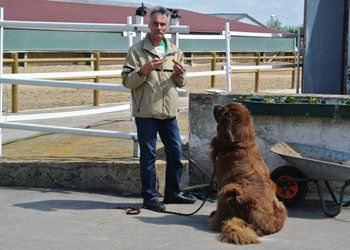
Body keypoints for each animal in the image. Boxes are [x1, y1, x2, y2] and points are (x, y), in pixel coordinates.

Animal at [208, 101, 288, 244]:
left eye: (224, 109)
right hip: (281, 205)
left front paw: (214, 213)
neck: (241, 145)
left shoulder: (222, 182)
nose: (216, 105)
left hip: (231, 191)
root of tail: (262, 226)